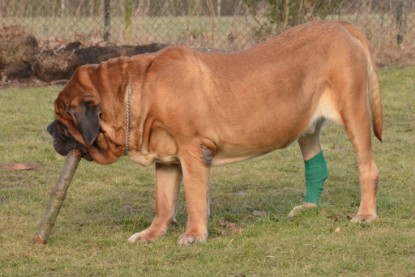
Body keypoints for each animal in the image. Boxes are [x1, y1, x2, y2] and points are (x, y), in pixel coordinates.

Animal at [47, 21, 382, 244]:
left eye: (62, 119)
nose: (49, 130)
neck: (135, 90)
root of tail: (340, 25)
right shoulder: (166, 161)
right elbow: (163, 202)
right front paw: (151, 234)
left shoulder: (192, 152)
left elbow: (195, 199)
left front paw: (194, 235)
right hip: (307, 128)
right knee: (317, 166)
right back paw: (308, 208)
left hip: (354, 112)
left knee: (368, 167)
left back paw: (365, 215)